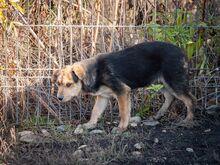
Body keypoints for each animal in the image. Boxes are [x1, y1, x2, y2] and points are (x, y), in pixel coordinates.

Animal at [52, 41, 196, 133]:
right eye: (58, 84)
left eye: (69, 84)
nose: (59, 98)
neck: (95, 72)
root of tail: (182, 52)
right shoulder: (103, 96)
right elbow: (95, 111)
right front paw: (89, 125)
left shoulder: (122, 91)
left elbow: (123, 111)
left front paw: (121, 128)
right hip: (160, 82)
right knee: (170, 97)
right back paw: (157, 116)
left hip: (174, 81)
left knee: (190, 99)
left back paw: (188, 120)